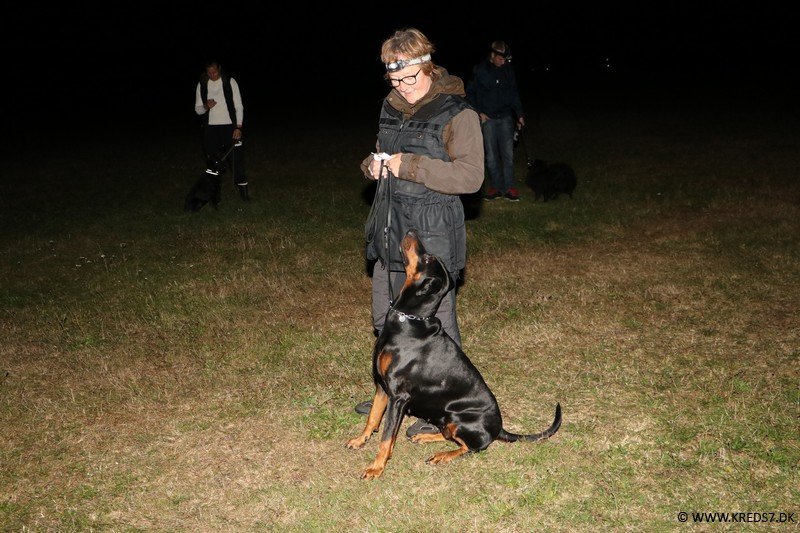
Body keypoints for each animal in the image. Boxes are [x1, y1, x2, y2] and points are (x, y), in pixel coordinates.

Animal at [346, 230, 561, 479]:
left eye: (427, 258)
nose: (410, 231)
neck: (410, 321)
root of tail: (499, 428)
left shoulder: (398, 397)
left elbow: (387, 436)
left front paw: (376, 467)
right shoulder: (382, 386)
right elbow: (373, 417)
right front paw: (360, 440)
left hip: (459, 419)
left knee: (472, 447)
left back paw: (442, 455)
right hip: (445, 417)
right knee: (450, 435)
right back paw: (425, 436)